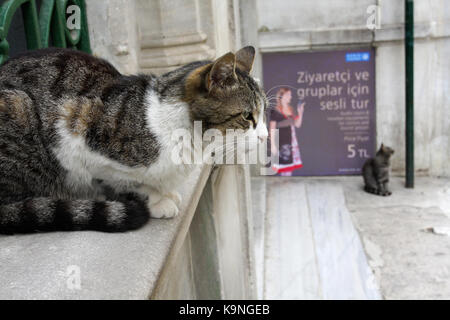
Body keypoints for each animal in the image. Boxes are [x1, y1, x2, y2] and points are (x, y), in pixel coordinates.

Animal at [0, 46, 268, 234]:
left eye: (263, 112)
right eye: (247, 116)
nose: (266, 136)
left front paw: (167, 193)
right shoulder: (76, 135)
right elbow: (128, 183)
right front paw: (157, 201)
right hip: (18, 106)